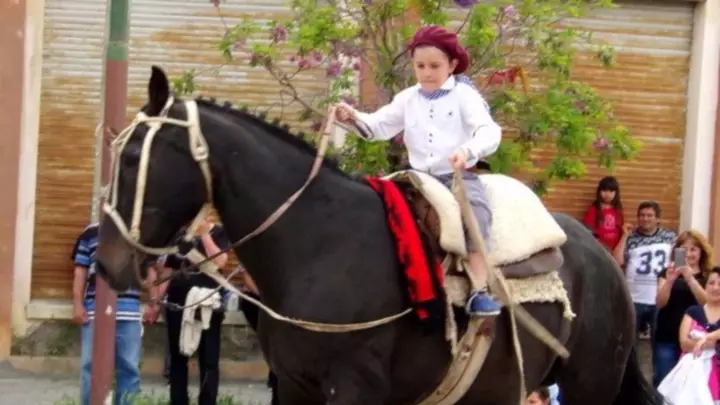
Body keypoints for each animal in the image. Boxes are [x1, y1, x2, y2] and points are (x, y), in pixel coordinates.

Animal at [95, 66, 662, 405]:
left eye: (132, 156)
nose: (107, 263)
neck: (318, 244)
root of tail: (601, 258)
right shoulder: (295, 386)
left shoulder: (353, 388)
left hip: (589, 385)